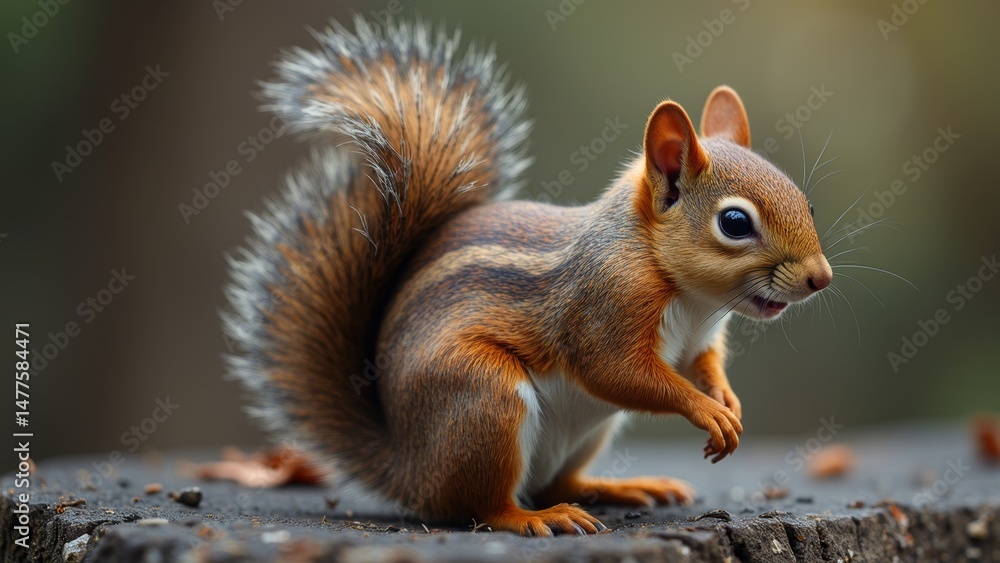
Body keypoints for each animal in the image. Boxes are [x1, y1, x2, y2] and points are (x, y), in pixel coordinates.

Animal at [222, 17, 832, 536]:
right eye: (735, 223)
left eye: (804, 201)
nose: (820, 279)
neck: (691, 297)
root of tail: (407, 468)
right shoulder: (604, 303)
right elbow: (619, 373)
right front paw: (707, 411)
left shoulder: (699, 340)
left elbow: (699, 367)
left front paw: (726, 400)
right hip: (484, 397)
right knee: (482, 506)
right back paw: (535, 518)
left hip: (582, 431)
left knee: (556, 482)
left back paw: (620, 487)